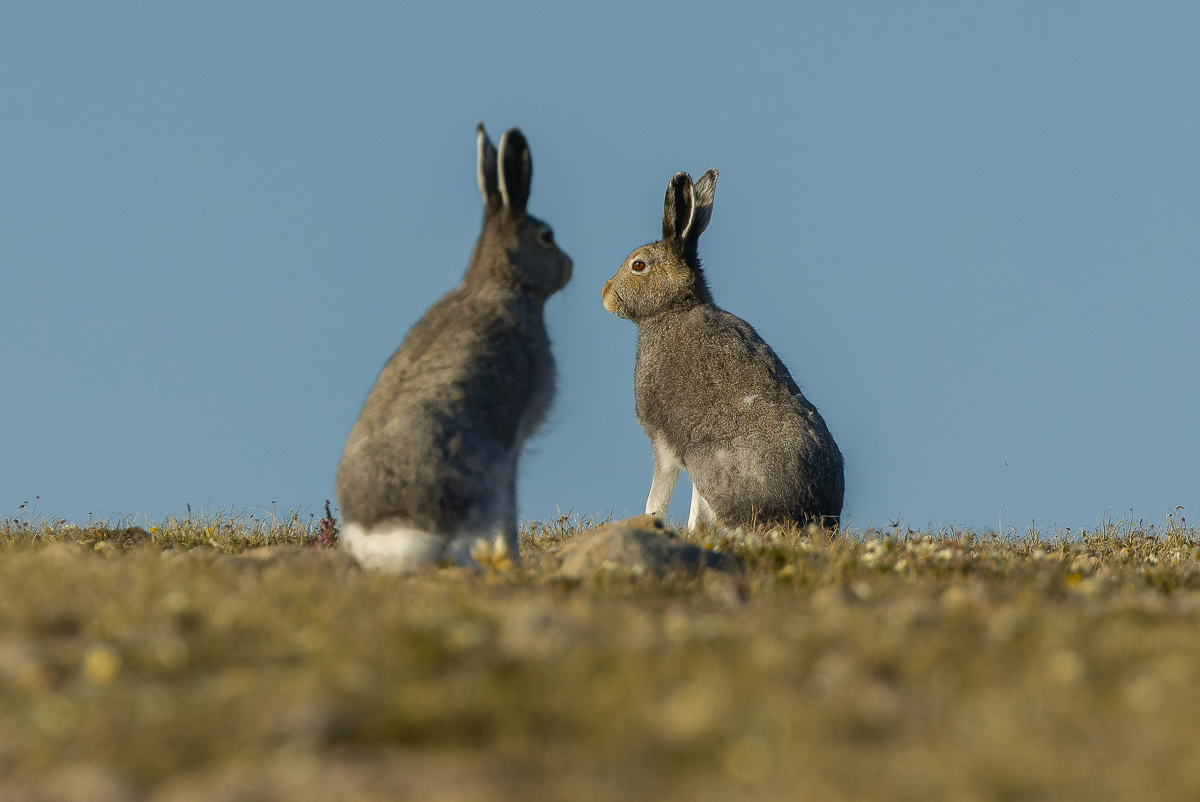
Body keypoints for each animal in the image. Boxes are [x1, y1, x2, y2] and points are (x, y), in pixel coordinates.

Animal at [335, 124, 572, 572]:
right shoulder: (513, 442)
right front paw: (511, 560)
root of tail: (391, 531)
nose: (569, 266)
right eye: (547, 237)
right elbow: (509, 508)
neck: (501, 281)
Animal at [602, 169, 843, 531]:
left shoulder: (663, 443)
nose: (605, 295)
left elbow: (659, 496)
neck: (675, 306)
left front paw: (651, 519)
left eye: (639, 265)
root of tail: (805, 513)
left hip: (712, 470)